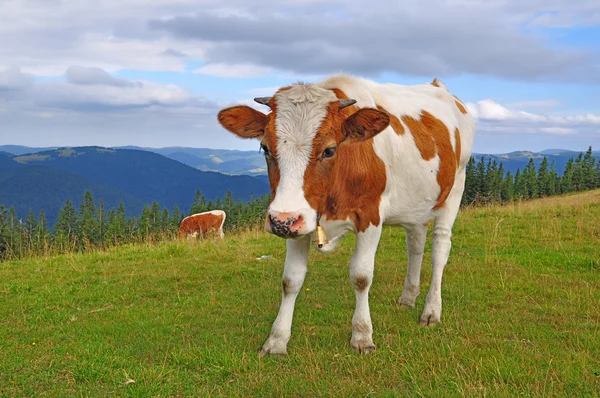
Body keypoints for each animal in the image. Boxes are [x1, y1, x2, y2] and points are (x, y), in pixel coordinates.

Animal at [218, 73, 476, 356]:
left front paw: (362, 335)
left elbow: (361, 276)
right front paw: (276, 340)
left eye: (329, 150)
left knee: (439, 249)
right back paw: (408, 297)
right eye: (265, 147)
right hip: (416, 202)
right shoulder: (300, 219)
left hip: (456, 186)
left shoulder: (370, 216)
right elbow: (290, 280)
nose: (279, 221)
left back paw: (431, 311)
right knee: (415, 245)